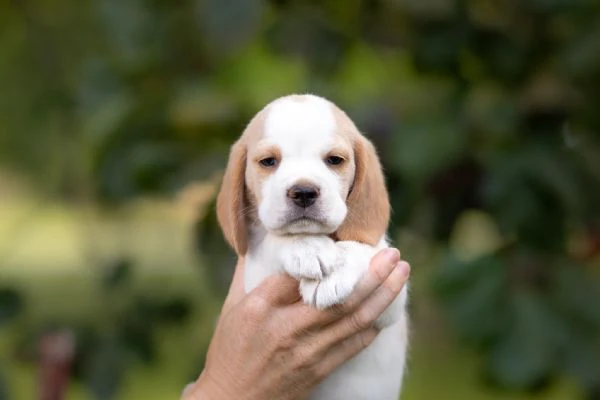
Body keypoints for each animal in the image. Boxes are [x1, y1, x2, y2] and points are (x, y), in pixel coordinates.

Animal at [216, 94, 408, 400]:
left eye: (335, 160)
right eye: (268, 161)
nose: (304, 192)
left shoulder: (392, 297)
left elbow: (360, 249)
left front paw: (334, 273)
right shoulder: (254, 277)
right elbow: (273, 239)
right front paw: (307, 248)